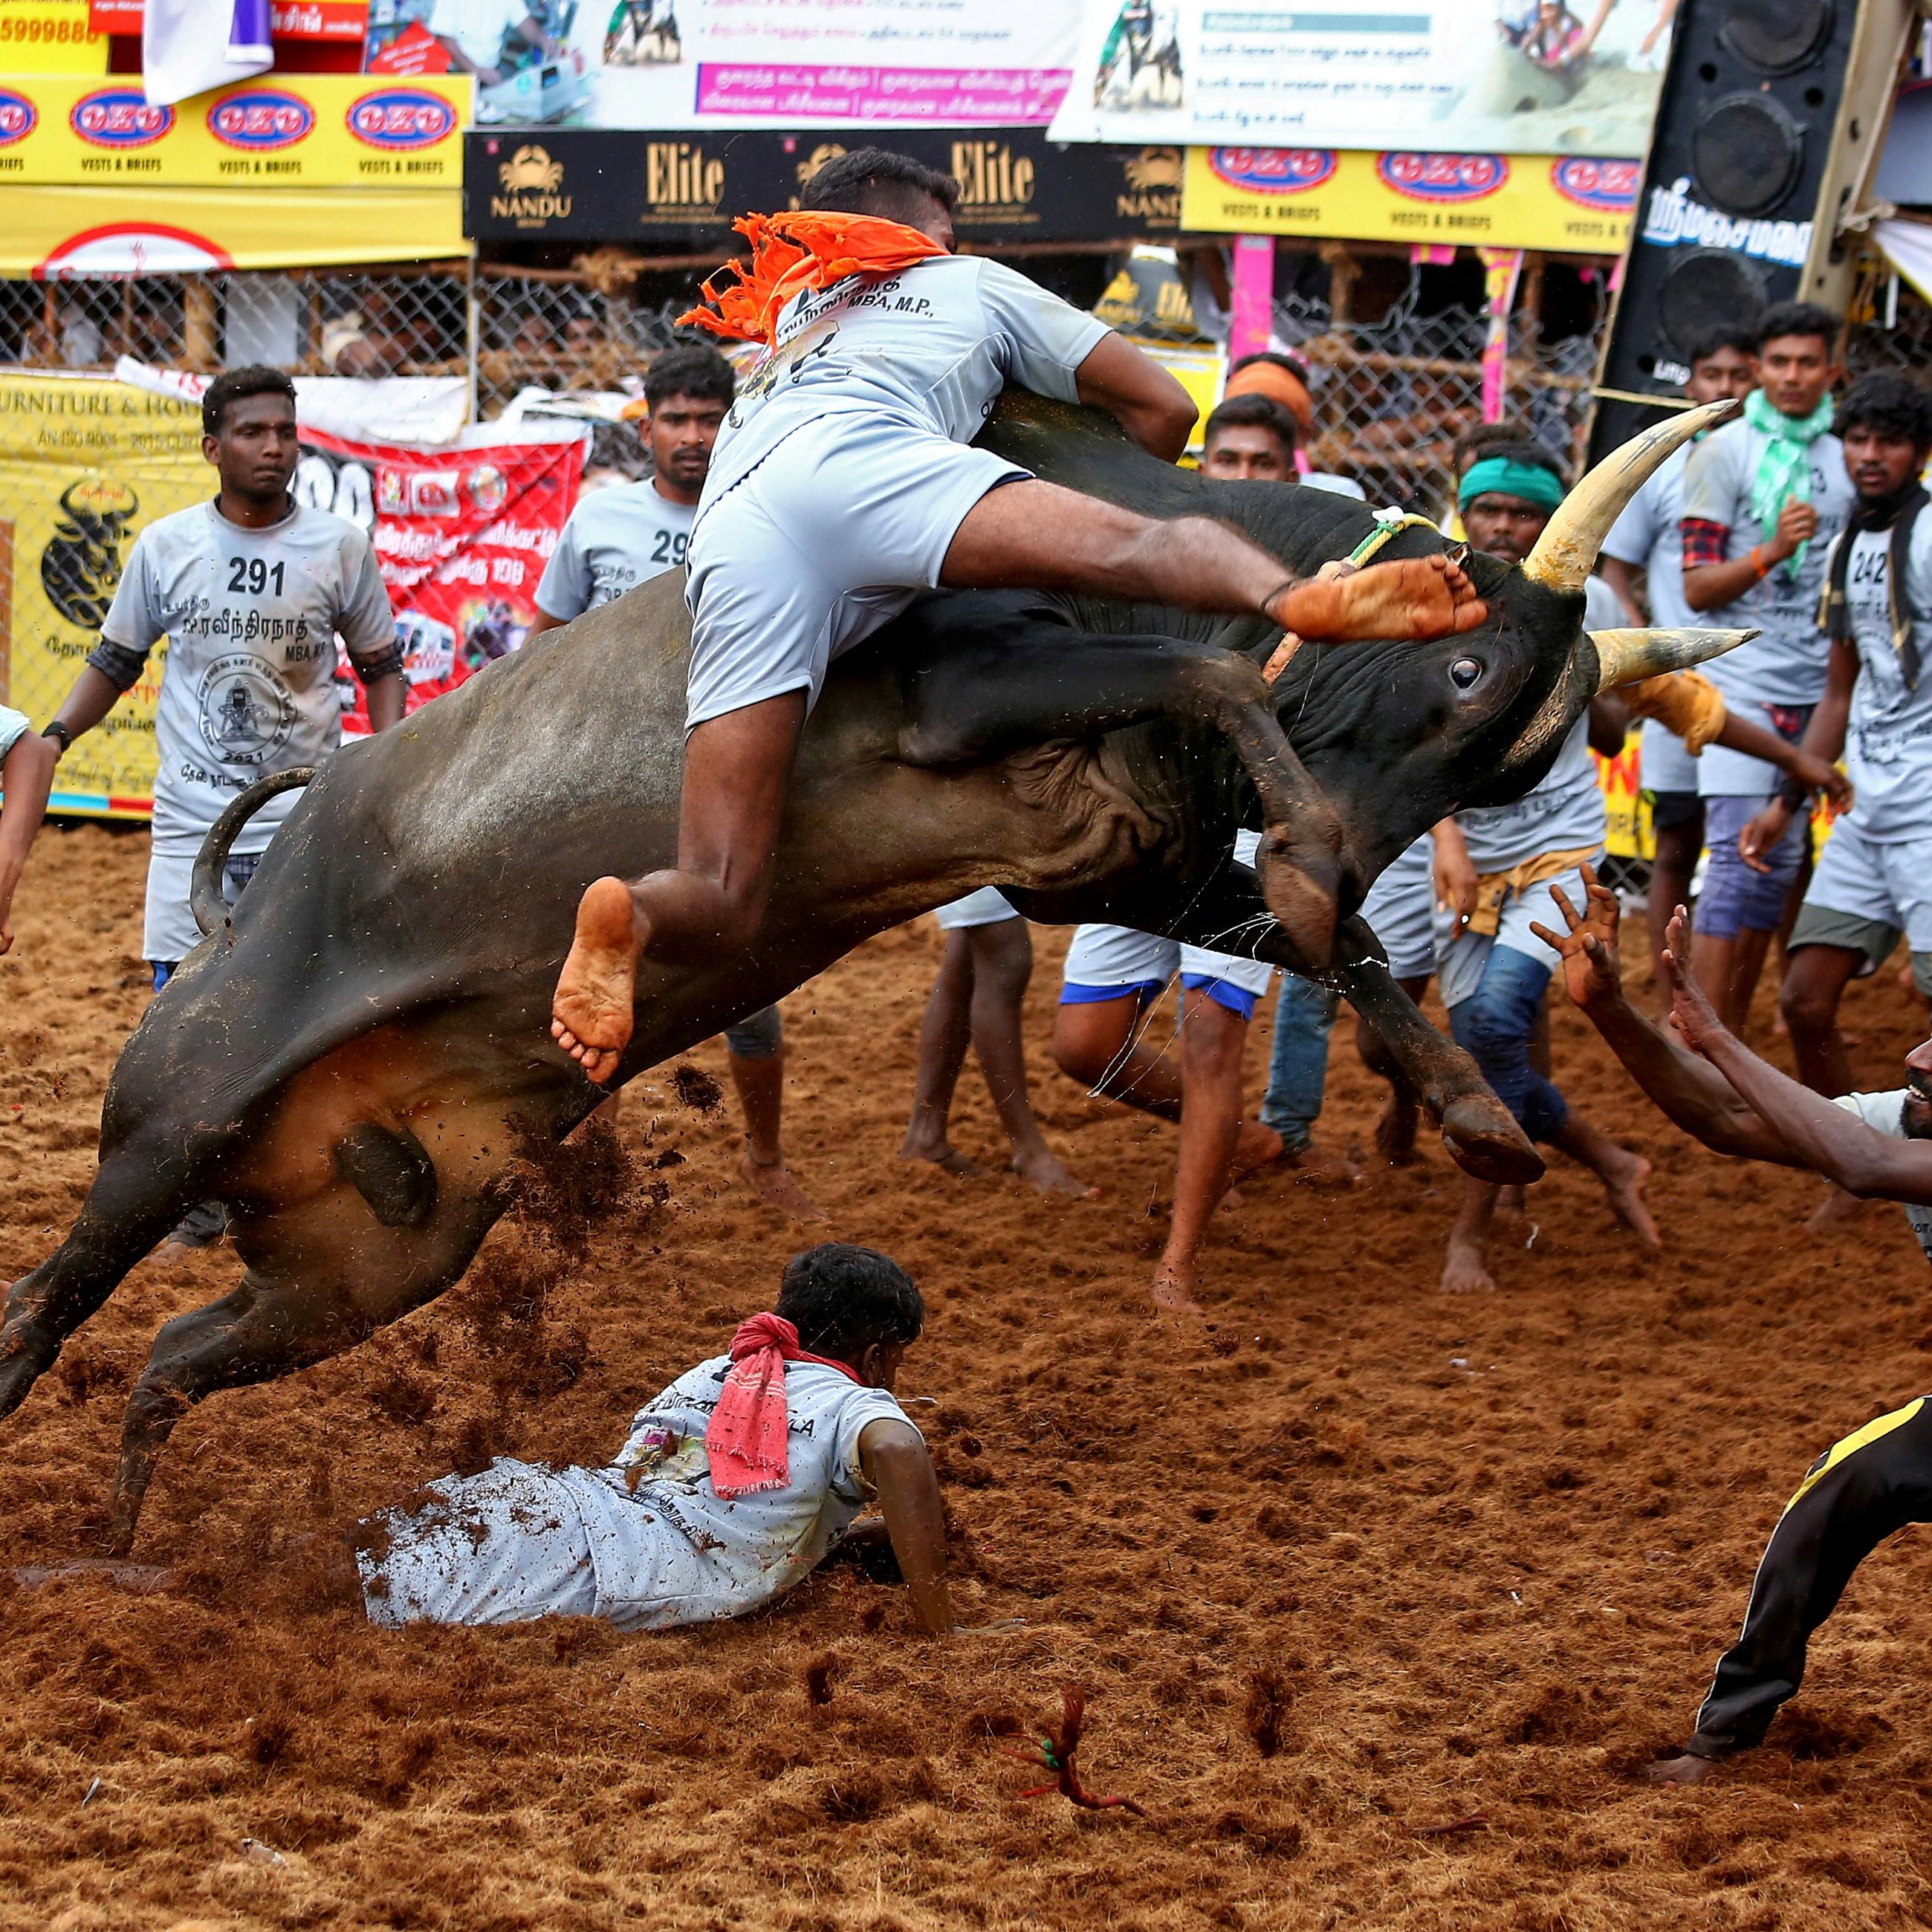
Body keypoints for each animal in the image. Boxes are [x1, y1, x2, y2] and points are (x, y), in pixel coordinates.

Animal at [0, 392, 1739, 1553]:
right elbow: (1212, 673)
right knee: (41, 1311)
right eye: (1463, 665)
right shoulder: (977, 701)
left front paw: (1476, 1109)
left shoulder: (1118, 860)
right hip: (166, 1133)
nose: (1352, 850)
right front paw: (1319, 858)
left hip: (371, 1257)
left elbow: (1339, 932)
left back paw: (124, 1548)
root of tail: (237, 918)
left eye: (1511, 768)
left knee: (168, 1359)